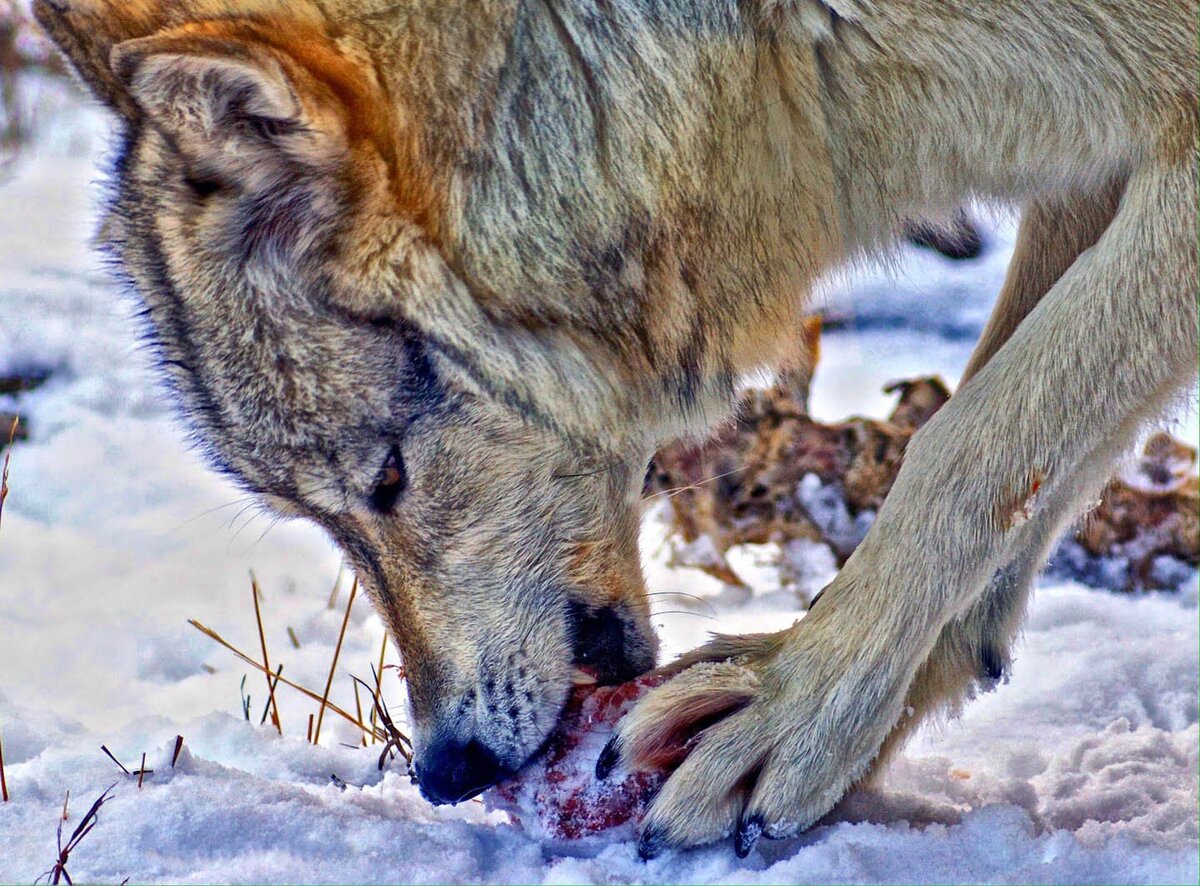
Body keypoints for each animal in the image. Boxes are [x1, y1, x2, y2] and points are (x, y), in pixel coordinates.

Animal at [32, 0, 1195, 854]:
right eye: (325, 518)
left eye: (388, 479)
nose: (446, 772)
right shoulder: (1093, 148)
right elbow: (1015, 439)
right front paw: (866, 722)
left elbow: (966, 442)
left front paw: (786, 711)